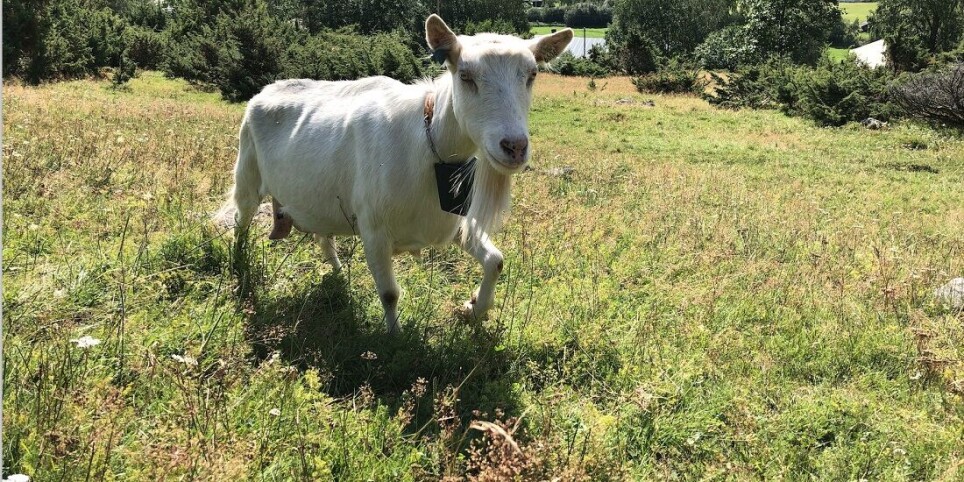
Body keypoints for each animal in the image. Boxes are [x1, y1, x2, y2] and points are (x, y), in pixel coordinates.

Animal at [221, 15, 572, 333]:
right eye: (466, 76)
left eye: (532, 74)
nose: (514, 147)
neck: (429, 145)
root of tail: (265, 91)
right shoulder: (374, 230)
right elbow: (390, 294)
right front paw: (395, 340)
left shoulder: (449, 222)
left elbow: (495, 260)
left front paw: (473, 308)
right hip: (247, 173)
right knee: (241, 220)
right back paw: (238, 264)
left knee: (323, 233)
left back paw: (337, 270)